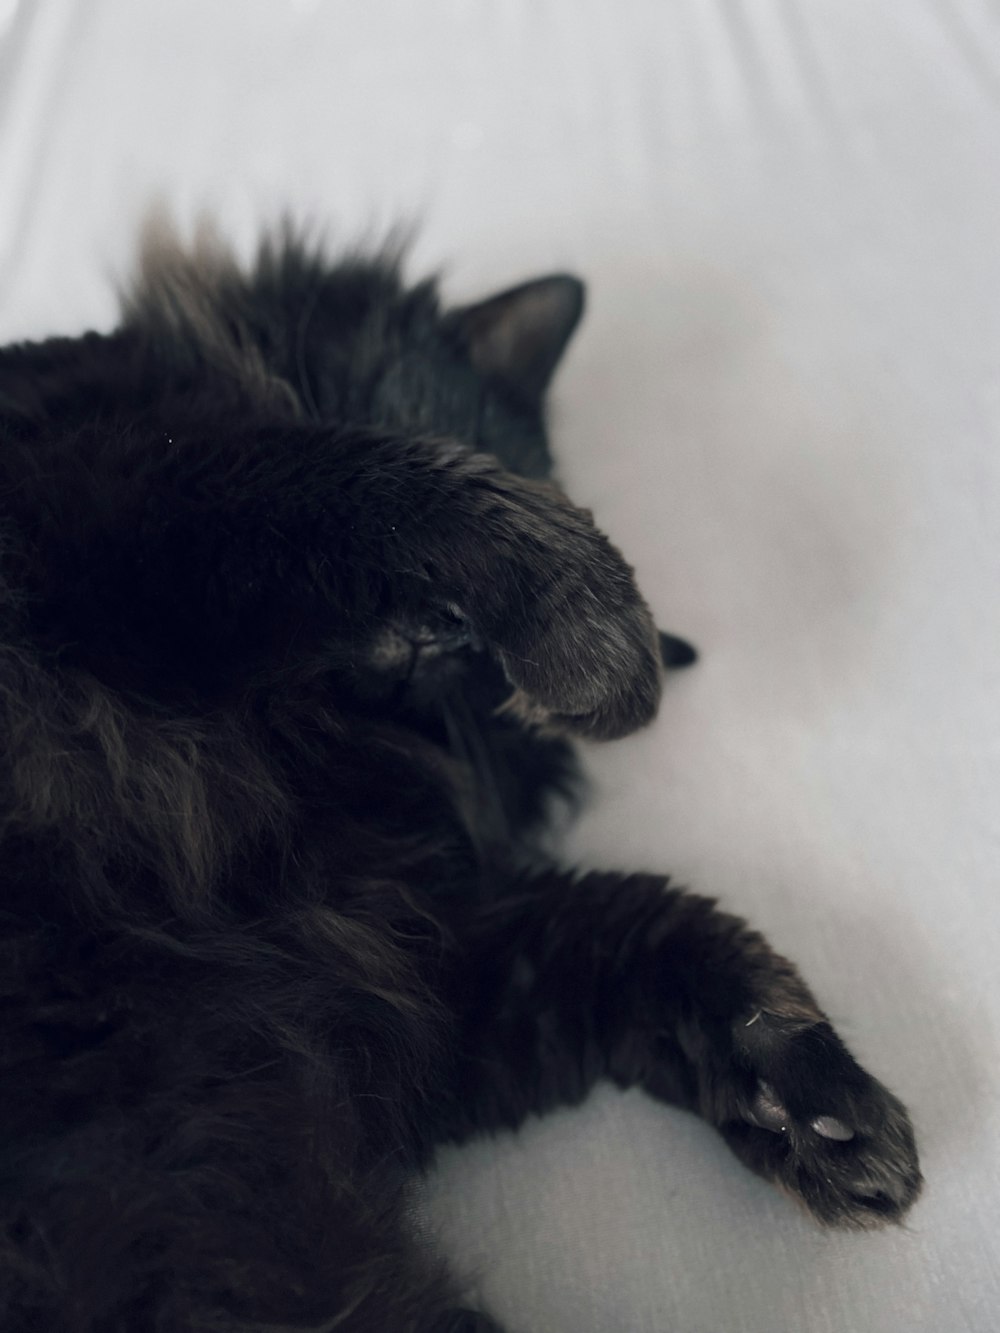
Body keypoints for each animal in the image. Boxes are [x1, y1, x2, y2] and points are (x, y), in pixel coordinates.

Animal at [0, 223, 922, 1327]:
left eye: (489, 684)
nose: (446, 633)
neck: (304, 736)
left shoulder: (438, 976)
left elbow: (656, 933)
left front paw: (815, 1107)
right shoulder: (116, 483)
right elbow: (356, 481)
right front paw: (603, 637)